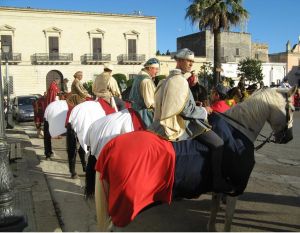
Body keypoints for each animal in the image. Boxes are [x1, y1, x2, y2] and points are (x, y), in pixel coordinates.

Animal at [95, 87, 296, 231]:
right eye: (292, 109)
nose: (289, 138)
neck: (238, 130)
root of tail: (109, 148)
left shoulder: (219, 188)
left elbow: (214, 209)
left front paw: (211, 228)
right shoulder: (234, 189)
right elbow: (229, 220)